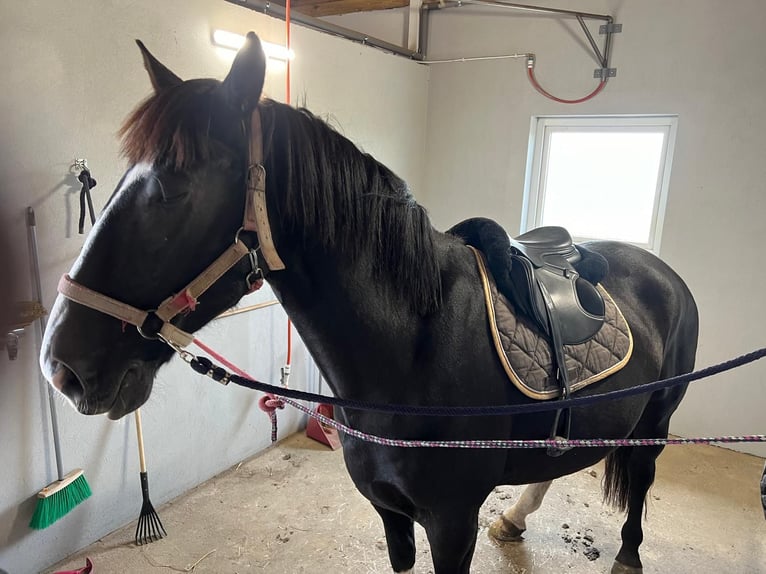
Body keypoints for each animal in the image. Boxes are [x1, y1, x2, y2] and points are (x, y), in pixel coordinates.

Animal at [40, 33, 704, 572]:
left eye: (172, 189)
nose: (61, 367)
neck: (414, 350)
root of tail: (663, 273)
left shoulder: (451, 524)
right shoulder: (391, 516)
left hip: (658, 418)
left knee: (641, 475)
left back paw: (627, 554)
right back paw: (516, 517)